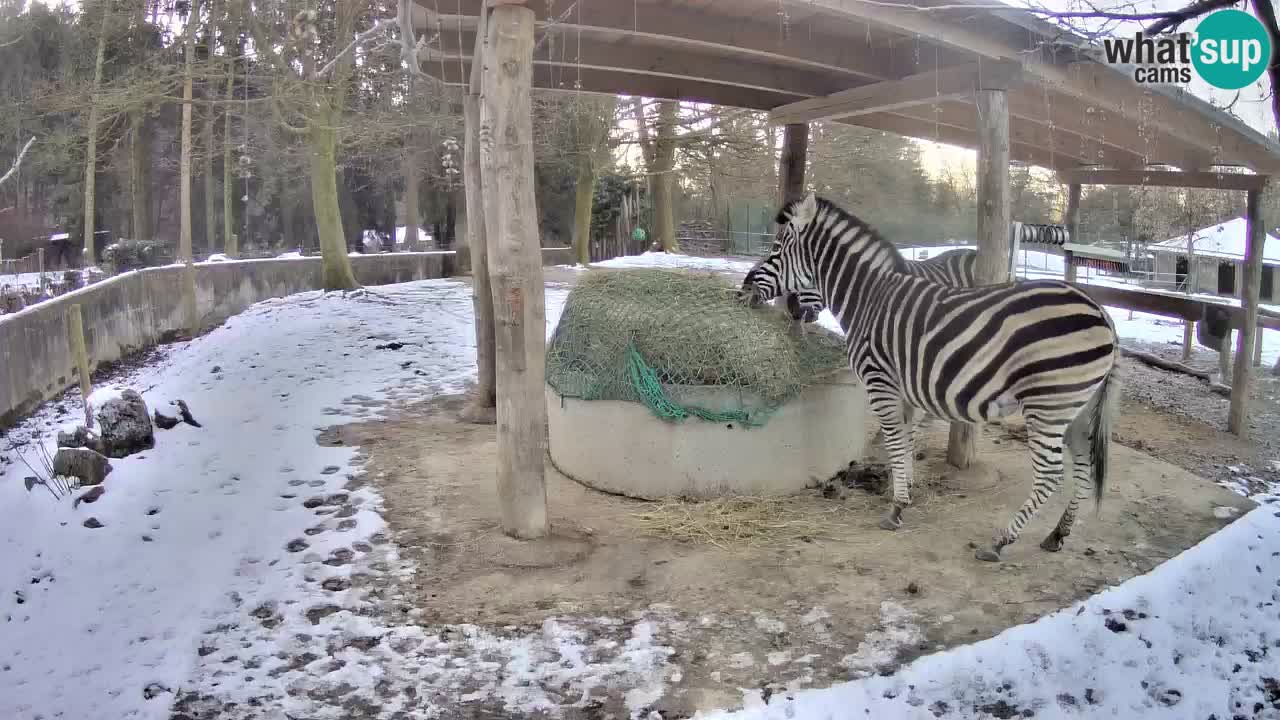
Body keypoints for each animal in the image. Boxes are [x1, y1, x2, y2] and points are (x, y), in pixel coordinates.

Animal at [742, 192, 1121, 561]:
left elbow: (895, 441)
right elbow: (906, 440)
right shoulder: (907, 389)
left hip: (1048, 404)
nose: (744, 288)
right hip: (1076, 407)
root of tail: (1101, 311)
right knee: (1083, 462)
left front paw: (896, 507)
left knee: (1050, 475)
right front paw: (903, 491)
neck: (868, 298)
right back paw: (1057, 534)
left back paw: (1000, 541)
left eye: (776, 248)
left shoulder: (880, 382)